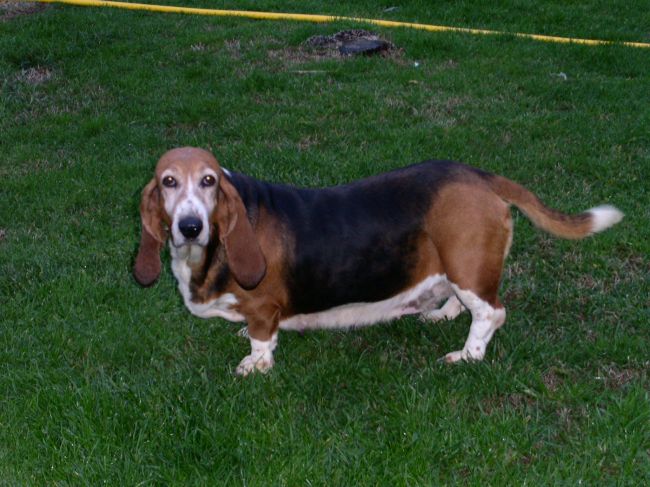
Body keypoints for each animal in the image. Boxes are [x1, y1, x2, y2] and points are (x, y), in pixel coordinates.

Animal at [133, 147, 623, 375]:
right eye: (169, 182)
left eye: (210, 182)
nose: (190, 226)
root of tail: (480, 176)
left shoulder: (264, 308)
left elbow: (261, 338)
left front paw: (255, 365)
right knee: (466, 303)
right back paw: (443, 315)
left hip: (467, 262)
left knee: (491, 312)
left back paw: (466, 355)